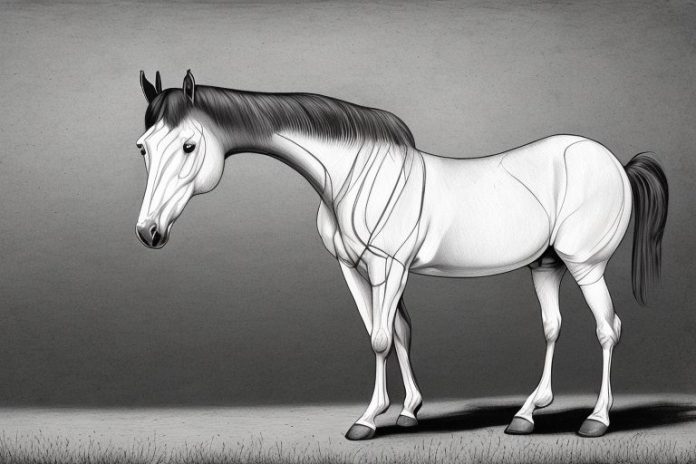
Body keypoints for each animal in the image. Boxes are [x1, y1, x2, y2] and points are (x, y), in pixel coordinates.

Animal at [135, 70, 668, 440]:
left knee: (608, 328)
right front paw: (409, 411)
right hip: (547, 265)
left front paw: (369, 420)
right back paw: (526, 414)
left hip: (586, 265)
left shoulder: (386, 267)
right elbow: (398, 333)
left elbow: (379, 339)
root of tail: (616, 163)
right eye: (143, 148)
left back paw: (596, 420)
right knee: (553, 327)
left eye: (188, 145)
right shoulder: (356, 270)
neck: (350, 174)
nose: (148, 232)